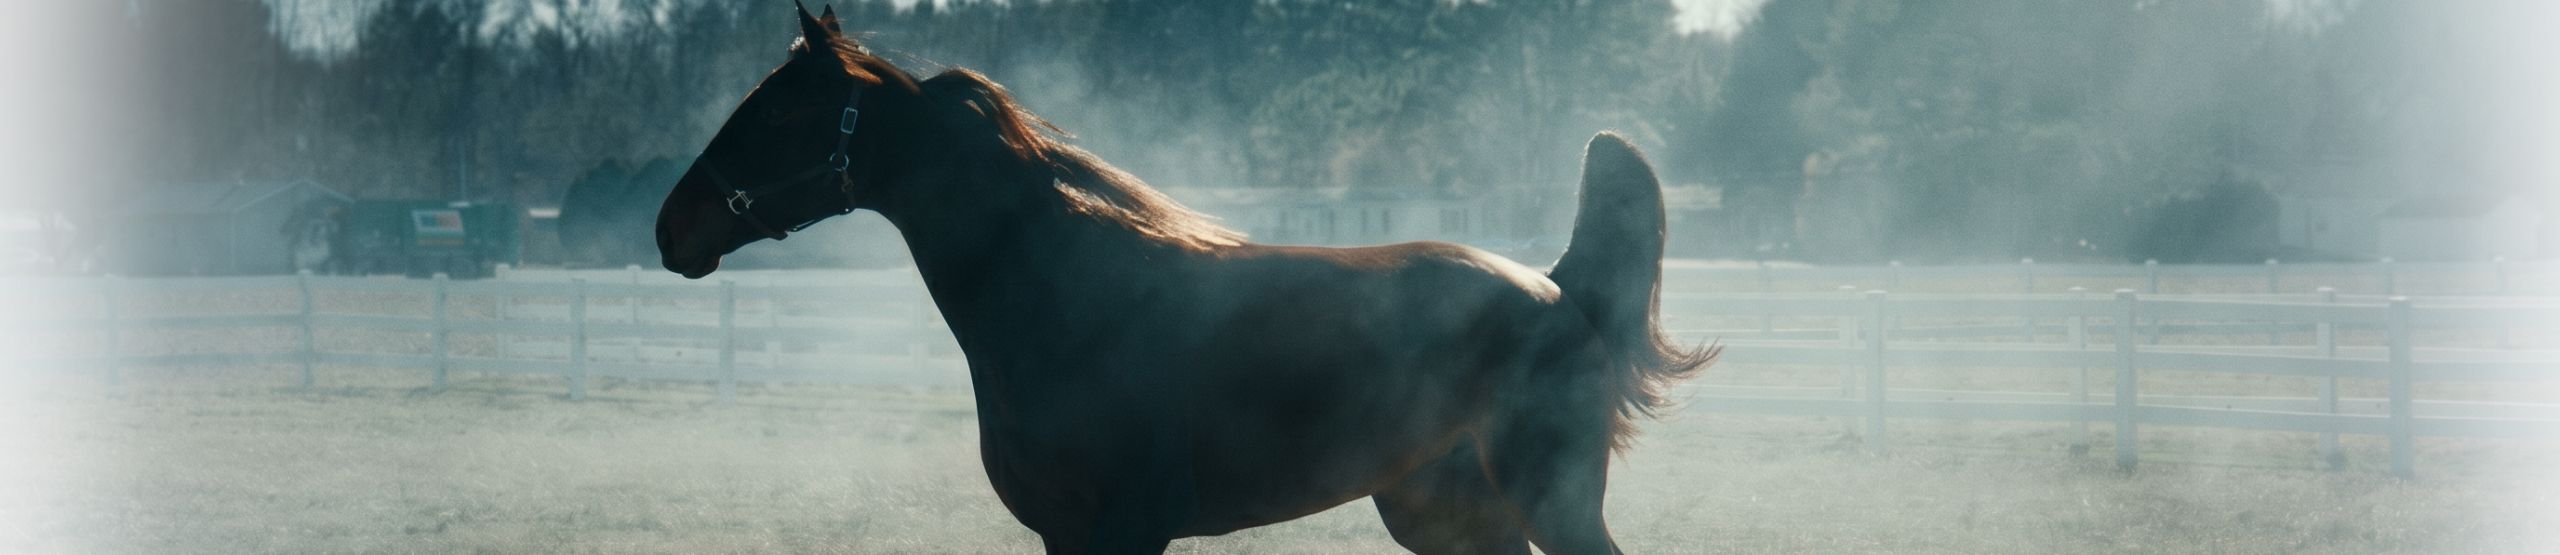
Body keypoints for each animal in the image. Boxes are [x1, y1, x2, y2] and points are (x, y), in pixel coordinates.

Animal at [653, 4, 1715, 553]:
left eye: (781, 110)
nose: (673, 227)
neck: (1065, 300)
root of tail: (1557, 289)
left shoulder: (1126, 532)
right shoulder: (1069, 538)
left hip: (1552, 502)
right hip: (1448, 517)